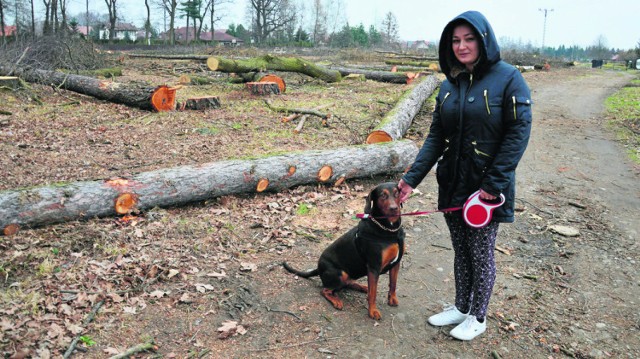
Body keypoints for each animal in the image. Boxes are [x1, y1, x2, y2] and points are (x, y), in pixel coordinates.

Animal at [284, 183, 404, 320]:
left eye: (397, 193)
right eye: (382, 195)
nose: (394, 208)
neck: (389, 230)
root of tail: (318, 268)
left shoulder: (396, 263)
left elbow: (393, 284)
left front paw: (392, 299)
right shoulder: (374, 267)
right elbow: (373, 294)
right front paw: (372, 311)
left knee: (348, 284)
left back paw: (363, 287)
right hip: (341, 273)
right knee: (325, 290)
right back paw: (336, 300)